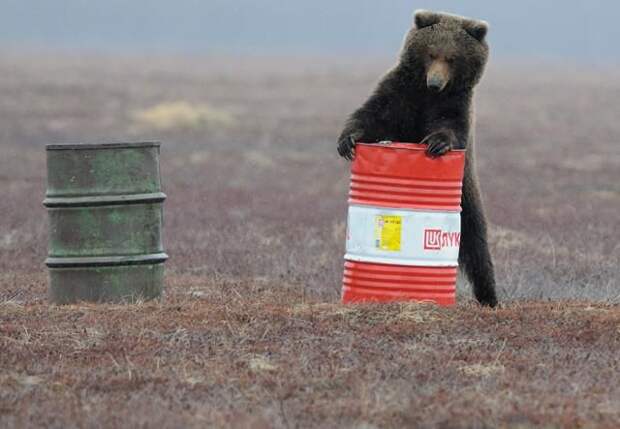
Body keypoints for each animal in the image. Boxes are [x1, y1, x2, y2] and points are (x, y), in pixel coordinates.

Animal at [336, 10, 496, 308]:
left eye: (452, 58)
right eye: (431, 53)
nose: (435, 83)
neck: (426, 97)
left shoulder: (454, 106)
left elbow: (449, 127)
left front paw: (437, 142)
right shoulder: (400, 94)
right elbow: (372, 115)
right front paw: (348, 141)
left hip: (466, 193)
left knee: (476, 243)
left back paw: (489, 296)